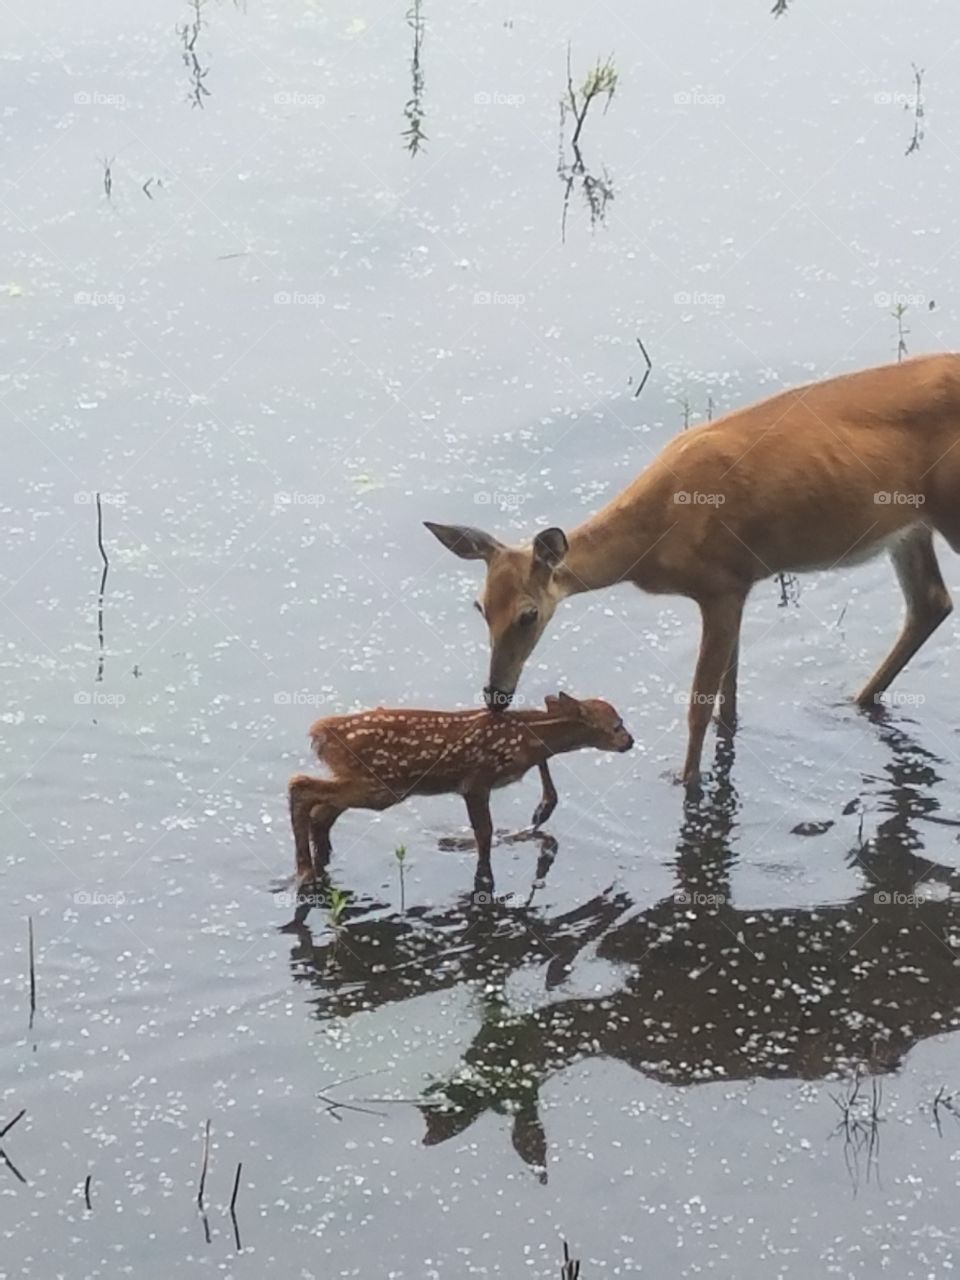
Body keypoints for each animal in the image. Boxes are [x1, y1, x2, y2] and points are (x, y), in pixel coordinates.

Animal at [288, 693, 633, 893]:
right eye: (617, 725)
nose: (630, 741)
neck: (524, 740)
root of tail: (320, 733)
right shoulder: (476, 781)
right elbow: (484, 832)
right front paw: (485, 878)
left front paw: (543, 809)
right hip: (380, 785)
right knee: (300, 786)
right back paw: (305, 872)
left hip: (366, 782)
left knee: (321, 812)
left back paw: (317, 862)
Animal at [425, 353, 960, 789]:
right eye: (480, 606)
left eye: (529, 614)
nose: (496, 695)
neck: (652, 539)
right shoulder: (739, 585)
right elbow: (730, 693)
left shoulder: (720, 586)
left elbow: (700, 705)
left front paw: (685, 781)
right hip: (909, 527)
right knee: (930, 602)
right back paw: (854, 701)